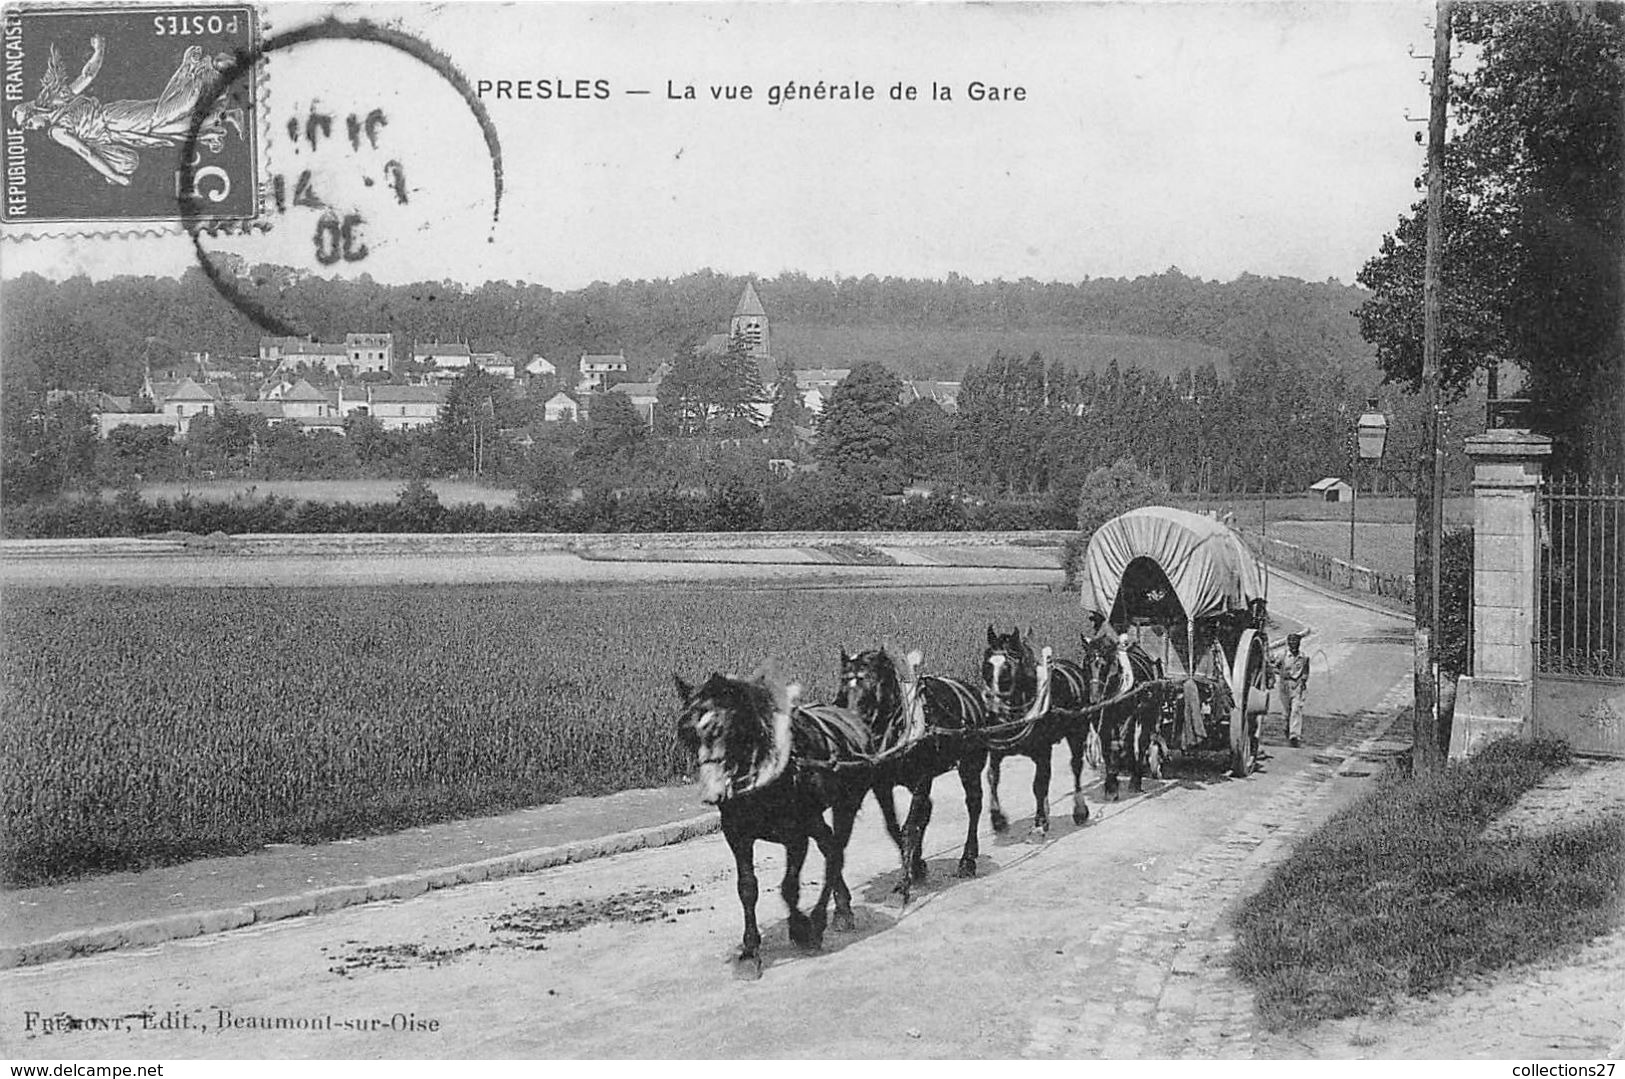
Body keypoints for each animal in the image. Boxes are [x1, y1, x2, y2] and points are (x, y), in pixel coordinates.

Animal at [672, 666, 877, 975]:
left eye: (725, 728)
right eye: (687, 733)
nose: (712, 792)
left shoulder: (796, 835)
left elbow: (789, 887)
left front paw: (801, 930)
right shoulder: (737, 835)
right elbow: (747, 888)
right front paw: (749, 951)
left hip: (844, 806)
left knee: (835, 854)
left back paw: (830, 917)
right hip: (816, 818)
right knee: (829, 846)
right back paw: (841, 907)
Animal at [838, 650, 988, 903]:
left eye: (875, 684)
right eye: (843, 684)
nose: (851, 727)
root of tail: (973, 694)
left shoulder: (922, 780)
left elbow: (909, 827)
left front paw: (904, 884)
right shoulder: (882, 785)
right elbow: (895, 827)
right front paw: (917, 866)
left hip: (970, 765)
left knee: (973, 804)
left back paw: (967, 860)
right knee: (927, 810)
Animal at [975, 624, 1092, 845]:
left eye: (1006, 670)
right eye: (986, 666)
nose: (991, 712)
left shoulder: (1042, 751)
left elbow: (1038, 785)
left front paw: (1038, 824)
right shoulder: (996, 752)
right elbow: (992, 777)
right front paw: (998, 819)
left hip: (1077, 734)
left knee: (1076, 766)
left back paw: (1079, 810)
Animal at [1085, 627, 1163, 796]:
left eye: (1104, 665)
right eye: (1086, 663)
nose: (1094, 699)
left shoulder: (1130, 715)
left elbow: (1123, 744)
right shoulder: (1100, 718)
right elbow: (1107, 745)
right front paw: (1111, 785)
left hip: (1147, 712)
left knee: (1141, 743)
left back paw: (1136, 777)